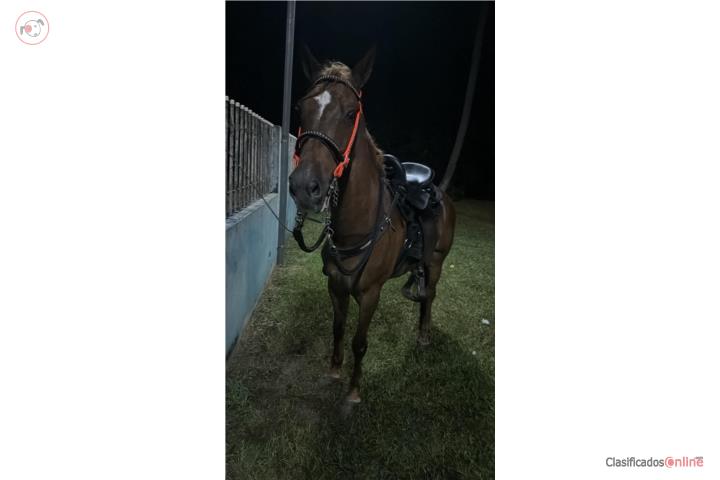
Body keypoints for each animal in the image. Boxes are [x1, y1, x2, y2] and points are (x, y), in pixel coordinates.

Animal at [288, 46, 456, 405]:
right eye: (300, 108)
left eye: (351, 112)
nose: (305, 186)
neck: (358, 226)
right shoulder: (335, 286)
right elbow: (338, 329)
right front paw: (334, 372)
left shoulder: (370, 295)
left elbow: (359, 342)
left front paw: (353, 391)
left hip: (436, 262)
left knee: (431, 295)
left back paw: (423, 335)